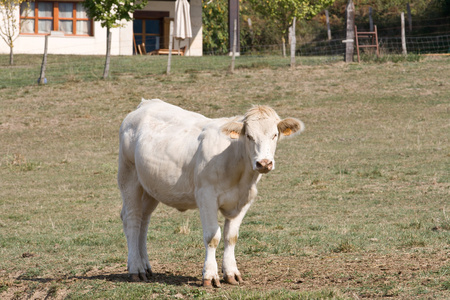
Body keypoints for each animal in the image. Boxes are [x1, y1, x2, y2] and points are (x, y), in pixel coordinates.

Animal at [118, 99, 304, 288]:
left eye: (275, 135)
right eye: (249, 136)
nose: (264, 163)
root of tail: (146, 103)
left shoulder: (244, 199)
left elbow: (231, 237)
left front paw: (231, 273)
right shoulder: (206, 196)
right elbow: (212, 237)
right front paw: (210, 275)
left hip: (150, 188)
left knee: (143, 221)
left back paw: (146, 266)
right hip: (129, 176)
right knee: (132, 219)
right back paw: (136, 268)